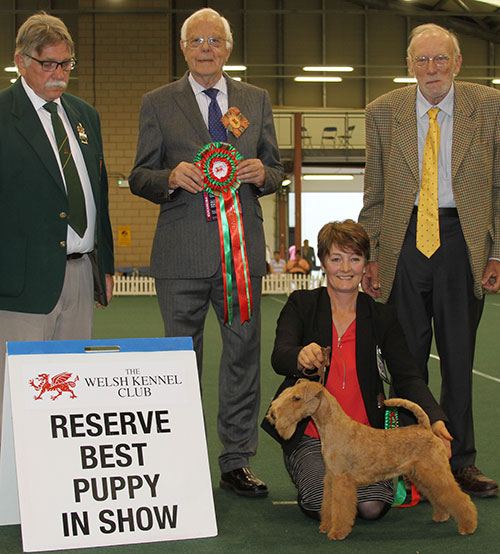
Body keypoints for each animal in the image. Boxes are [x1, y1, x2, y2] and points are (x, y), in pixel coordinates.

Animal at [266, 378, 476, 536]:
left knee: (459, 497)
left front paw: (337, 532)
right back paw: (441, 516)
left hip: (435, 472)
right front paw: (326, 526)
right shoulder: (331, 478)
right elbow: (328, 505)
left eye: (296, 398)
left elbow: (340, 508)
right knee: (438, 497)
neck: (333, 427)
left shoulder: (342, 480)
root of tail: (425, 427)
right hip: (421, 475)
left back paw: (468, 525)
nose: (273, 415)